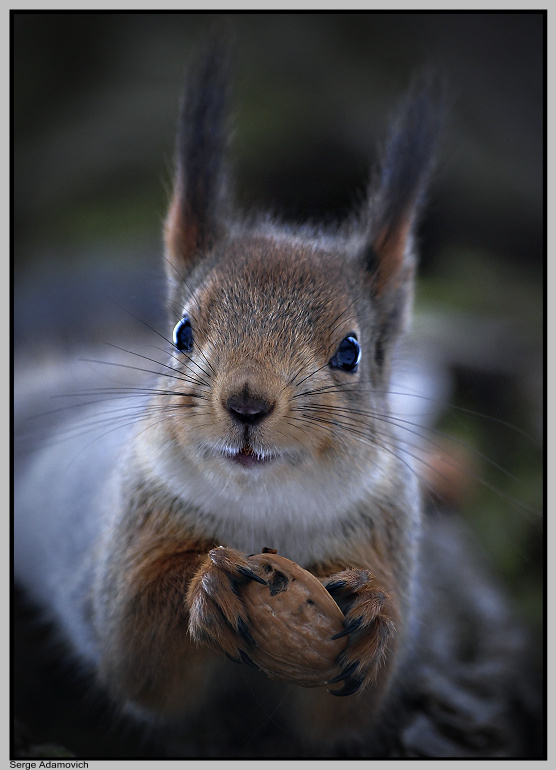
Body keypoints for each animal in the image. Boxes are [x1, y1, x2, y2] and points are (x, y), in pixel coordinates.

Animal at [13, 41, 539, 758]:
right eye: (182, 332)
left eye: (350, 350)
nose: (246, 404)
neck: (267, 509)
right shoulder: (123, 548)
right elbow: (138, 656)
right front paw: (206, 586)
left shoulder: (383, 548)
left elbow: (344, 711)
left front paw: (374, 611)